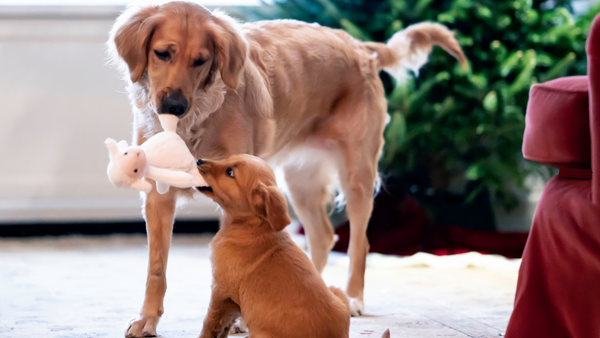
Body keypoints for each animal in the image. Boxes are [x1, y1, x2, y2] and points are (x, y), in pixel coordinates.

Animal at [195, 155, 392, 338]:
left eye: (230, 172)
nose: (198, 161)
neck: (251, 225)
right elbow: (223, 326)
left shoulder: (221, 291)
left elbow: (210, 324)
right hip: (335, 290)